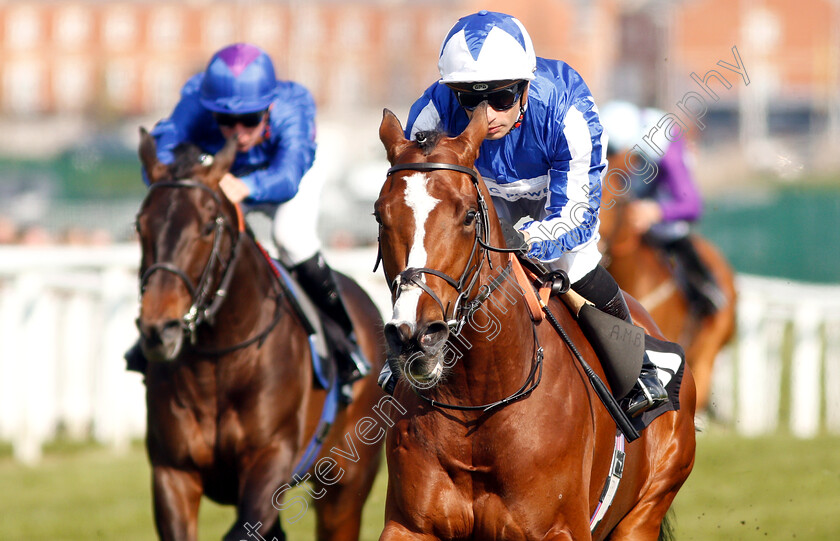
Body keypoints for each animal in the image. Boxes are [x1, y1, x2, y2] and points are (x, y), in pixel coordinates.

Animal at [136, 130, 386, 540]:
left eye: (208, 226)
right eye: (140, 225)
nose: (160, 329)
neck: (217, 362)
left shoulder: (271, 459)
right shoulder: (172, 472)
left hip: (347, 483)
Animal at [374, 105, 696, 540]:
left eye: (469, 215)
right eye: (380, 215)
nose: (416, 336)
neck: (478, 400)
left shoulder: (559, 529)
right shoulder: (409, 525)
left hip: (645, 511)